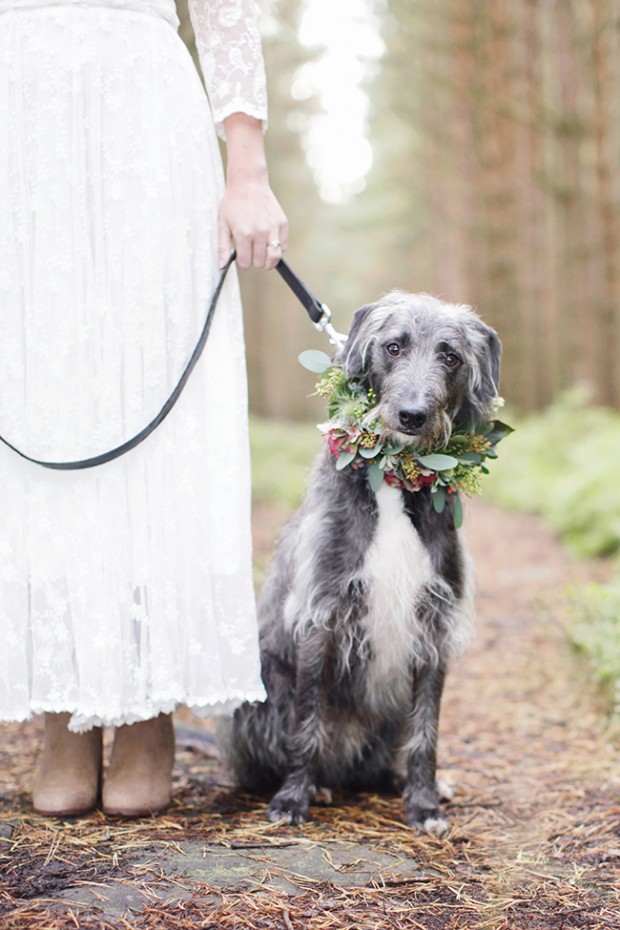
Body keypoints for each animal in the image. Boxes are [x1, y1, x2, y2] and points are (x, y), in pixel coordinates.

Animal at [230, 290, 502, 832]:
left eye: (451, 357)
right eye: (394, 347)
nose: (412, 415)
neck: (396, 478)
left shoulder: (434, 623)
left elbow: (426, 733)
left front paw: (424, 804)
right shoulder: (321, 611)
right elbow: (307, 722)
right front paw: (293, 798)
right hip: (260, 691)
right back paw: (317, 784)